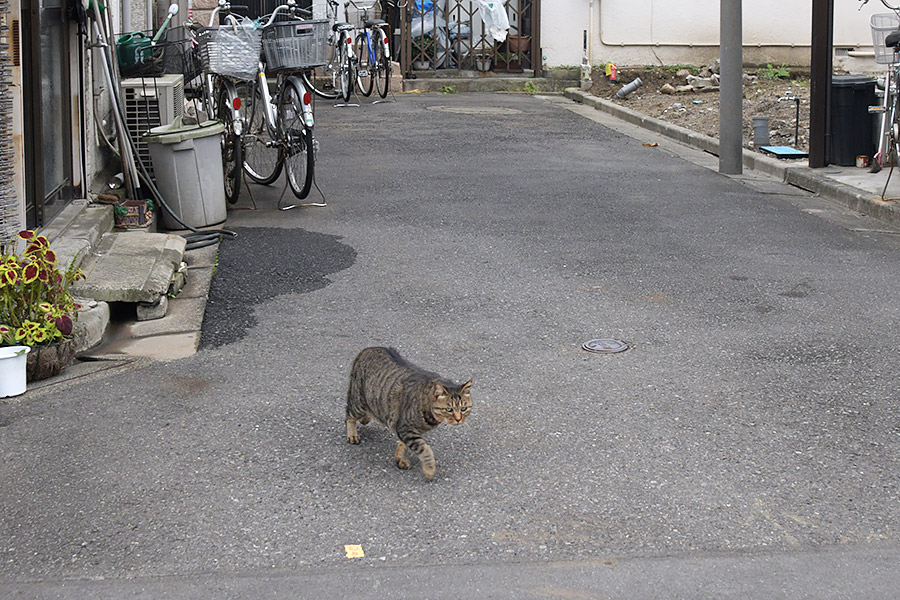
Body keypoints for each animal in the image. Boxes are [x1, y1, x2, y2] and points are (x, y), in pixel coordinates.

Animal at [344, 346, 472, 478]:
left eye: (463, 408)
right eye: (449, 409)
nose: (458, 419)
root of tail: (367, 349)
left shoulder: (405, 430)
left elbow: (403, 446)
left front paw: (400, 459)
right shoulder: (406, 429)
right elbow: (425, 450)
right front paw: (429, 469)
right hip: (358, 402)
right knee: (349, 414)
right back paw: (352, 434)